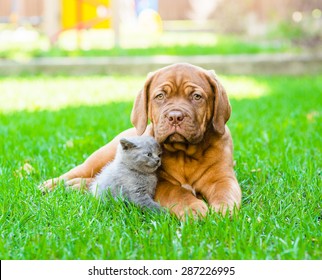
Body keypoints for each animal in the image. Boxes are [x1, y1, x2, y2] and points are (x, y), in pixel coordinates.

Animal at [40, 63, 242, 219]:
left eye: (197, 96)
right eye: (160, 96)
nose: (175, 116)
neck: (185, 154)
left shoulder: (222, 178)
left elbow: (225, 192)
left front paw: (223, 210)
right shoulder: (160, 182)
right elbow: (178, 192)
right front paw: (192, 207)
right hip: (98, 158)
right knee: (77, 172)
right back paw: (52, 185)